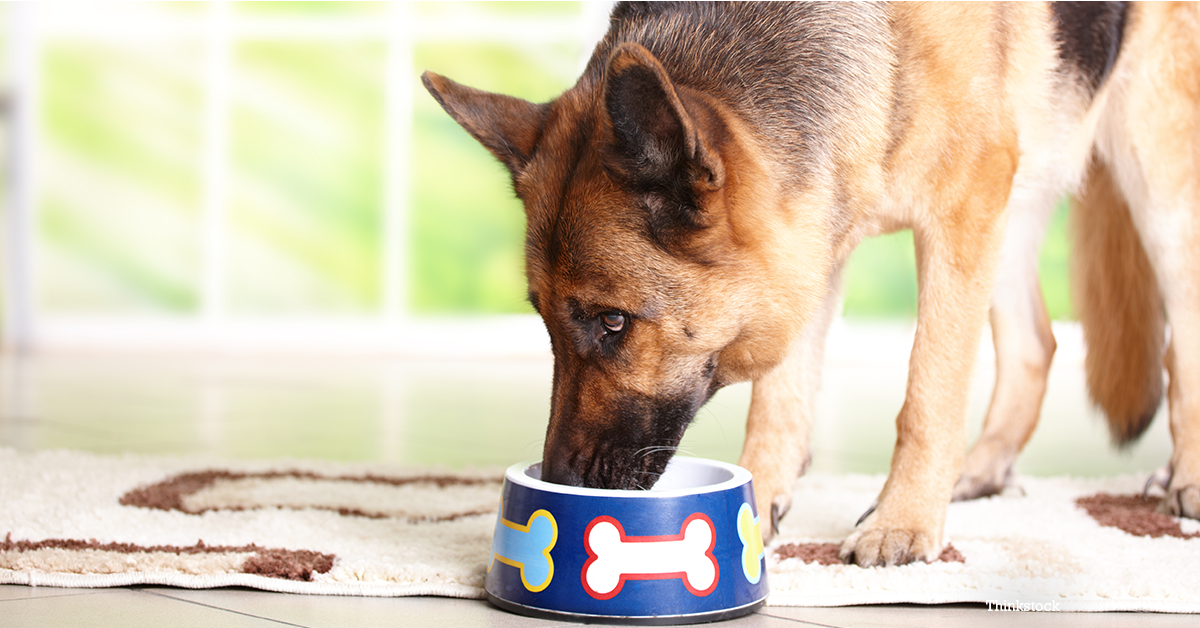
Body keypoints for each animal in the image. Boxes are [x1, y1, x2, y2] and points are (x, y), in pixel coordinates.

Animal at [424, 2, 1200, 566]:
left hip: (1154, 176)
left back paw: (1184, 478)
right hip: (1018, 206)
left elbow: (929, 392)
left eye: (614, 322)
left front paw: (904, 522)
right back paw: (981, 468)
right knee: (1037, 343)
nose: (556, 481)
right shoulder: (808, 239)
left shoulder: (958, 213)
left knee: (1179, 331)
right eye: (546, 323)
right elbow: (780, 398)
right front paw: (756, 503)